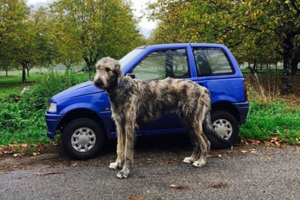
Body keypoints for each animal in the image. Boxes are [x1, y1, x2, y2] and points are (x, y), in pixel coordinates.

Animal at [92, 56, 229, 178]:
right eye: (98, 67)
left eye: (108, 69)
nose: (97, 82)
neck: (120, 87)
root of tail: (203, 89)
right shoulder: (120, 124)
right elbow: (119, 147)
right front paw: (117, 164)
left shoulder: (129, 124)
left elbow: (128, 151)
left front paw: (125, 171)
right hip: (187, 122)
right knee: (196, 142)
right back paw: (192, 158)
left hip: (194, 122)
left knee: (205, 142)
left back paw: (201, 162)